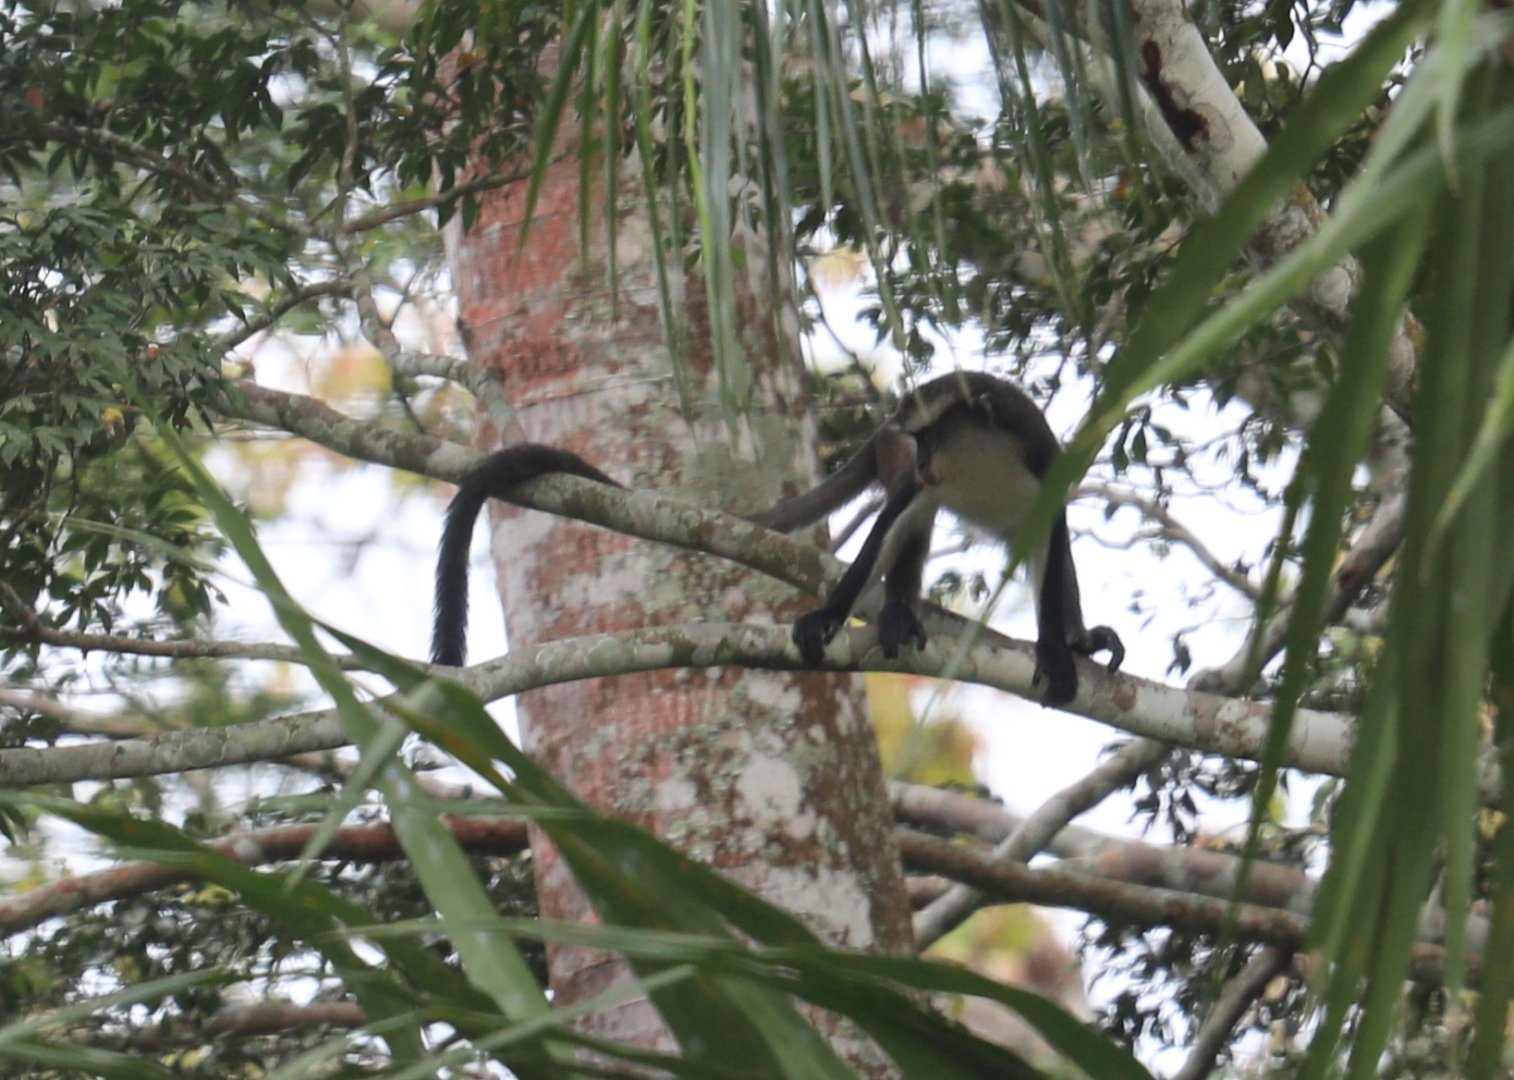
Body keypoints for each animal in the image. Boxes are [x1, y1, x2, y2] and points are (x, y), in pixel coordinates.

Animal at [749, 371, 1123, 704]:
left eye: (929, 438)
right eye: (918, 440)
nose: (921, 459)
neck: (985, 464)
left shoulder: (1044, 464)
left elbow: (1052, 542)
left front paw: (1055, 649)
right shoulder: (919, 480)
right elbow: (889, 527)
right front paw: (827, 616)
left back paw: (1080, 641)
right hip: (893, 453)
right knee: (915, 526)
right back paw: (899, 614)